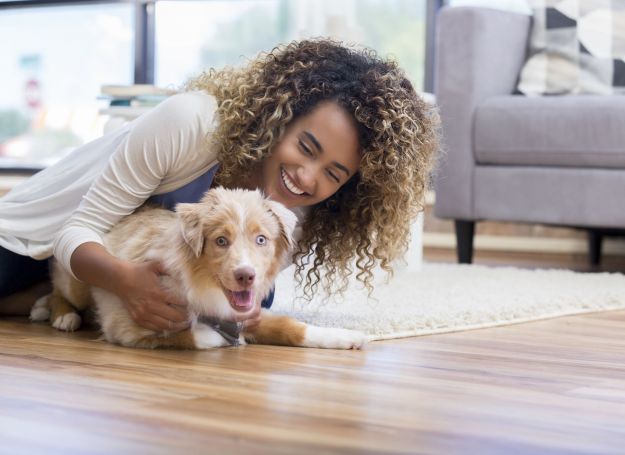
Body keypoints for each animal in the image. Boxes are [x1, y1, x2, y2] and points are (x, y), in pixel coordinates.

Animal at [30, 187, 366, 350]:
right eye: (221, 240)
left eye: (261, 239)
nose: (246, 276)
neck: (203, 284)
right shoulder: (126, 326)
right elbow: (193, 335)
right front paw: (225, 338)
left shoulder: (248, 312)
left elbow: (291, 326)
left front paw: (347, 336)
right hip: (77, 278)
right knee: (59, 288)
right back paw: (58, 314)